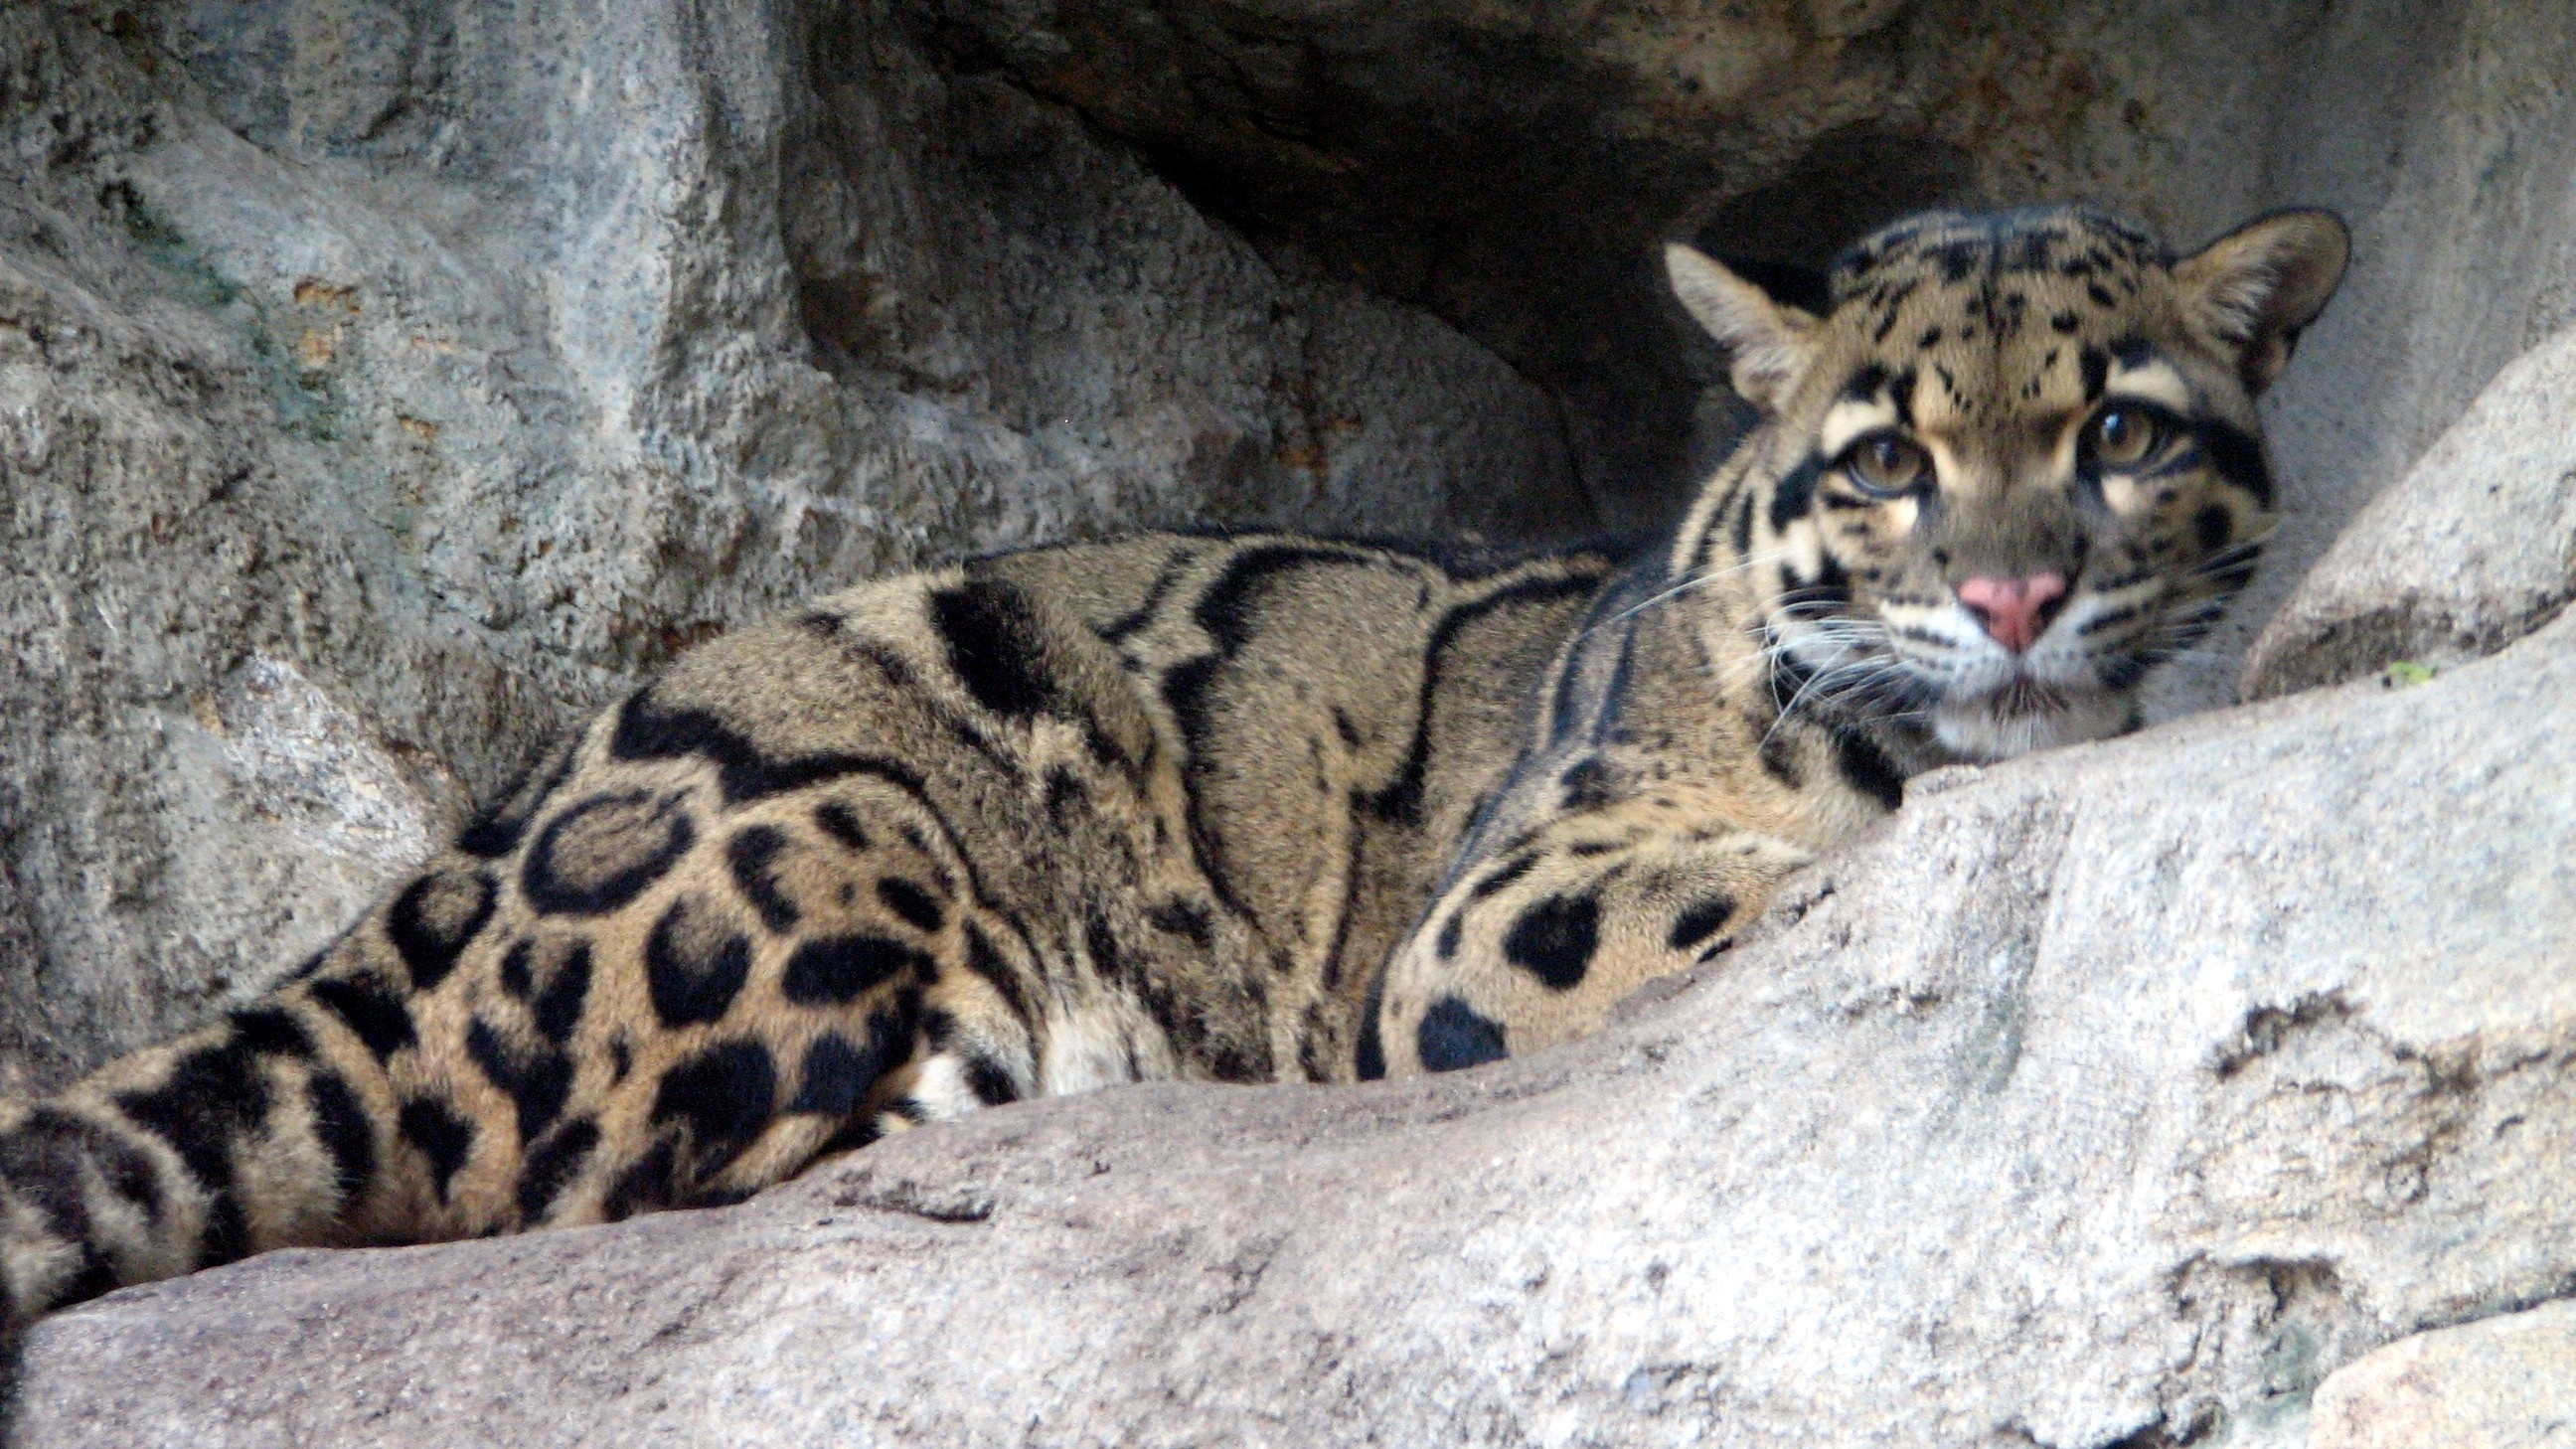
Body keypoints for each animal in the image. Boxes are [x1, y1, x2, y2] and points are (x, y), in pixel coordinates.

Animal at [0, 203, 2347, 1331]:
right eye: (1883, 461)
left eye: (2119, 431)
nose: (2017, 598)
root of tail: (445, 878)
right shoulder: (1502, 906)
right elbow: (1766, 881)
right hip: (845, 831)